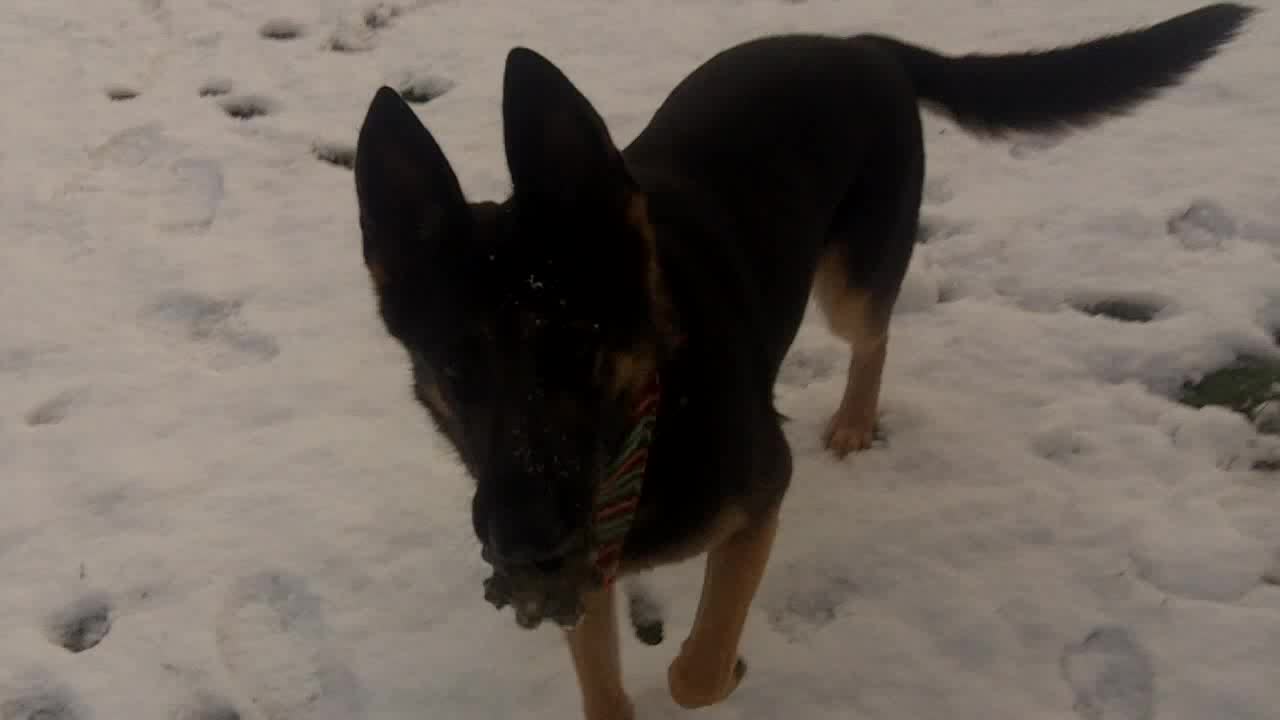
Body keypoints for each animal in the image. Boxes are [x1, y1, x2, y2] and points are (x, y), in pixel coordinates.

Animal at [355, 4, 1254, 712]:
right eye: (453, 367)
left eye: (577, 342)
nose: (521, 543)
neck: (656, 412)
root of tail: (859, 45)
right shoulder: (587, 571)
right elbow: (605, 689)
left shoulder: (759, 501)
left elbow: (696, 670)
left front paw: (728, 667)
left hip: (851, 283)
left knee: (875, 334)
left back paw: (856, 420)